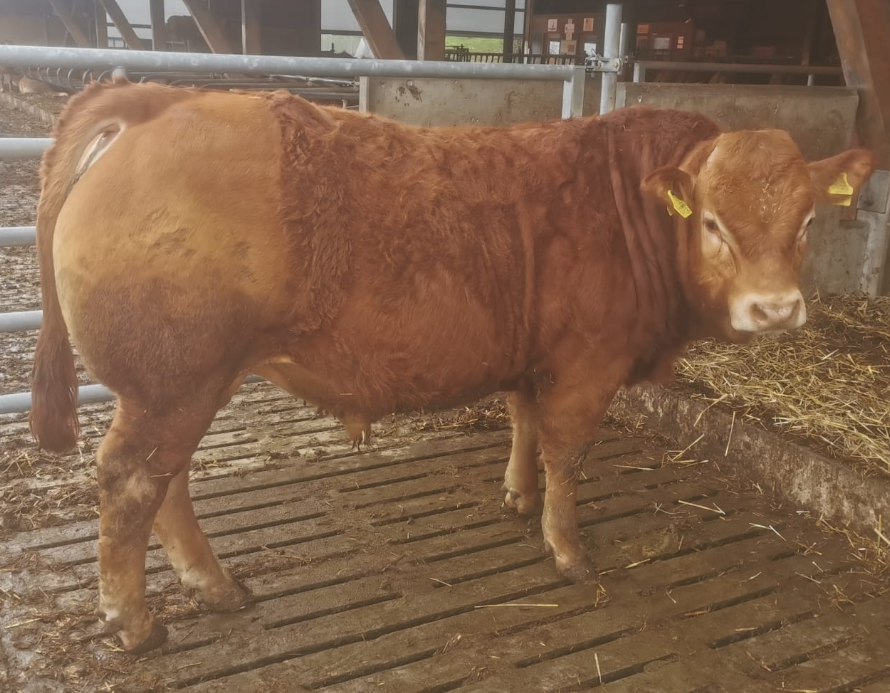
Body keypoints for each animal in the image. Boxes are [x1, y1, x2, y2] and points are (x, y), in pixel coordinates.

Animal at [29, 77, 874, 653]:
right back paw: (136, 620)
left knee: (165, 481)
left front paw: (518, 496)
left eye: (807, 221)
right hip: (172, 383)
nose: (775, 308)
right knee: (131, 482)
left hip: (182, 386)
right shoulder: (587, 364)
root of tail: (165, 98)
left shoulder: (533, 356)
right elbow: (567, 452)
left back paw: (213, 586)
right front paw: (567, 548)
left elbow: (524, 422)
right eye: (712, 222)